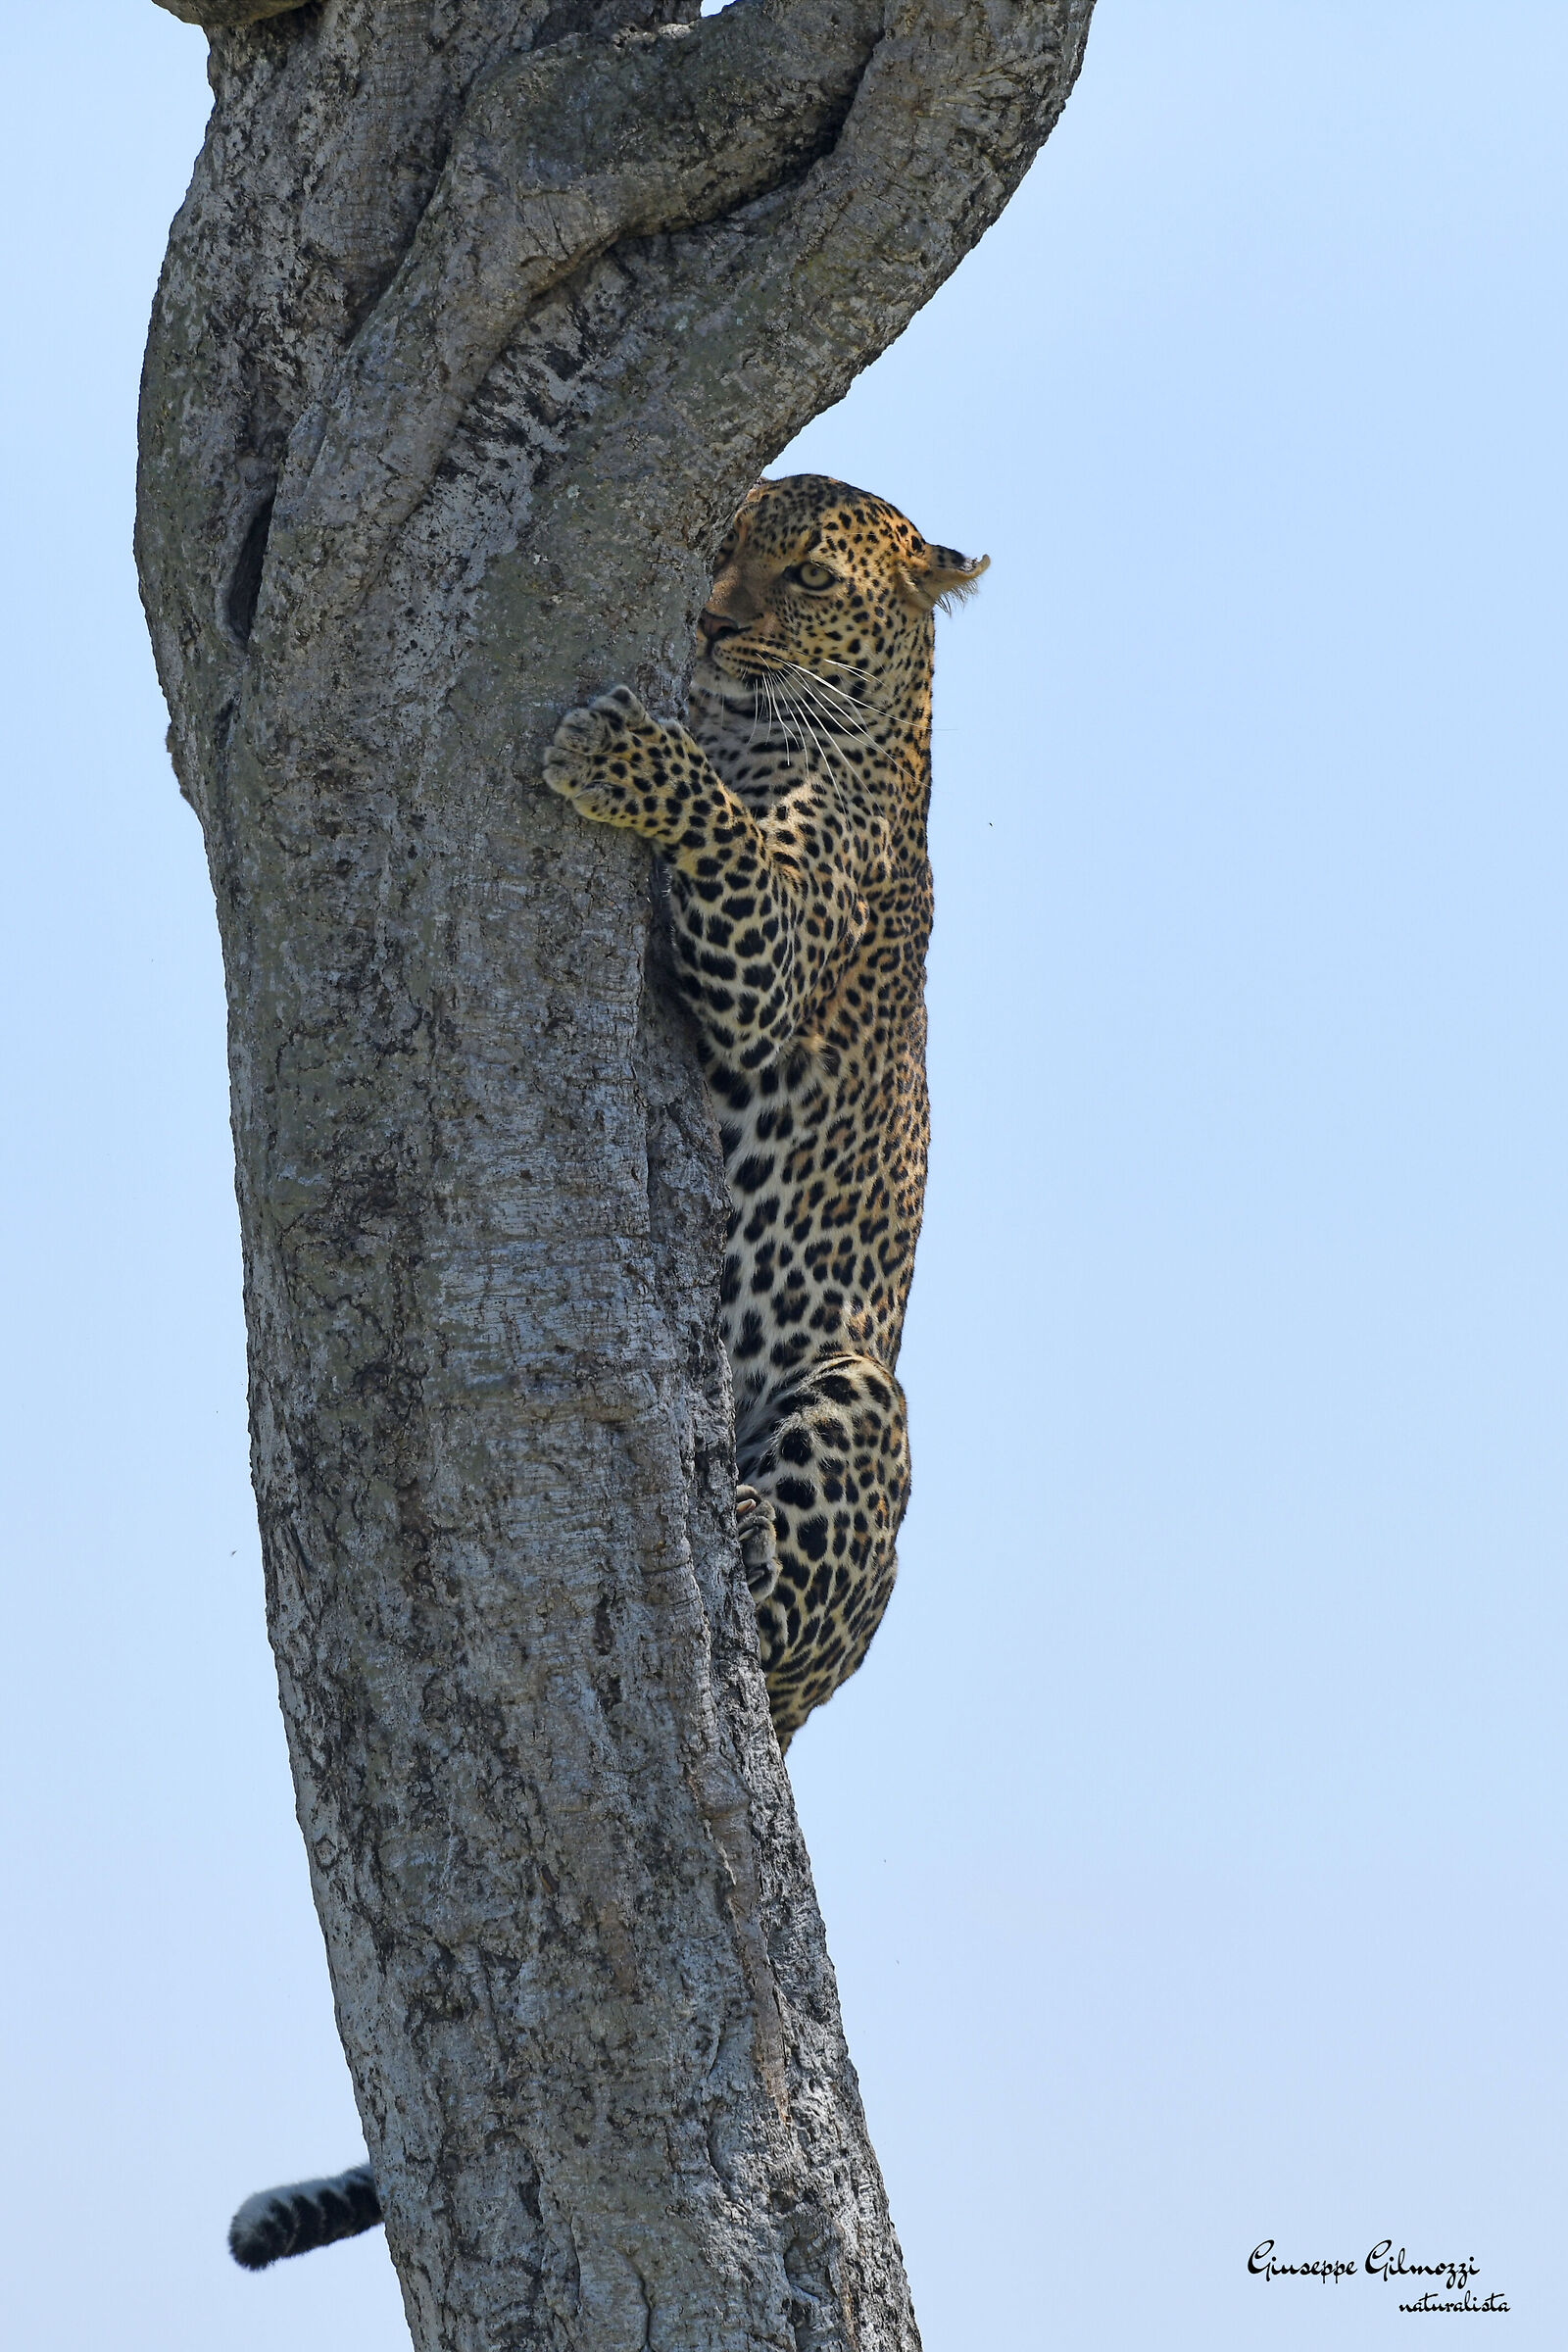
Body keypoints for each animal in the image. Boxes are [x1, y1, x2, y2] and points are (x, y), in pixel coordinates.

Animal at [225, 475, 984, 2276]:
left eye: (804, 570)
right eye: (728, 535)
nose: (702, 623)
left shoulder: (773, 956)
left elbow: (713, 822)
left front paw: (622, 745)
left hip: (862, 1396)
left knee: (769, 1635)